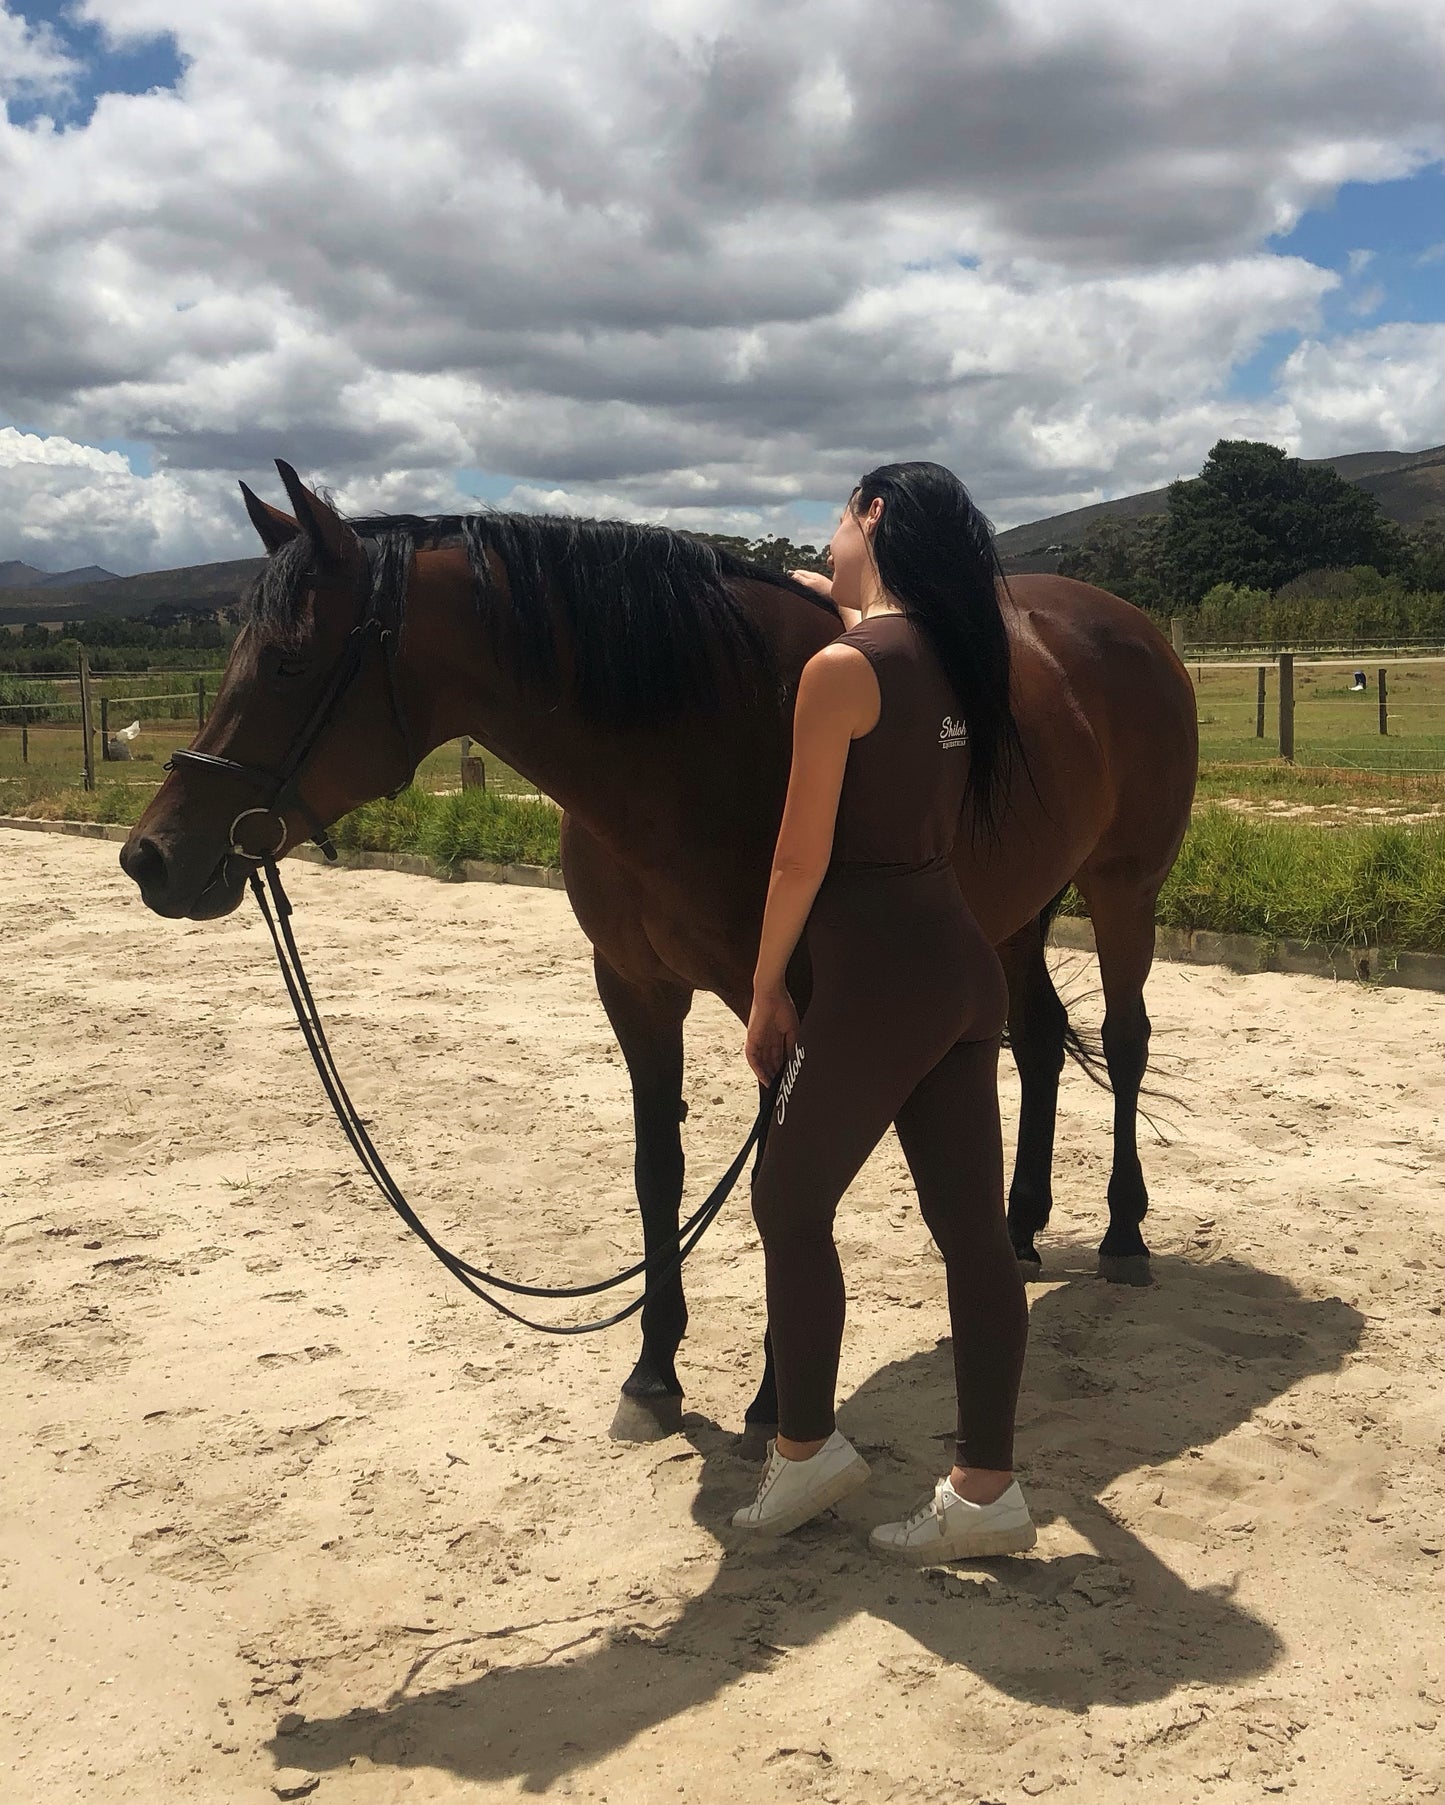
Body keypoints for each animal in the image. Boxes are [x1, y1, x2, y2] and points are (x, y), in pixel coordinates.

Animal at [120, 462, 1197, 1436]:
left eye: (291, 660)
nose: (151, 857)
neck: (713, 727)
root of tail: (1125, 626)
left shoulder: (787, 998)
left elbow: (775, 1174)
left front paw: (771, 1399)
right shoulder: (635, 989)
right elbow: (658, 1169)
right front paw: (651, 1373)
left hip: (1119, 890)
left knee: (1125, 1040)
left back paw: (1122, 1233)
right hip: (1017, 907)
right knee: (1039, 1039)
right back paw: (1016, 1231)